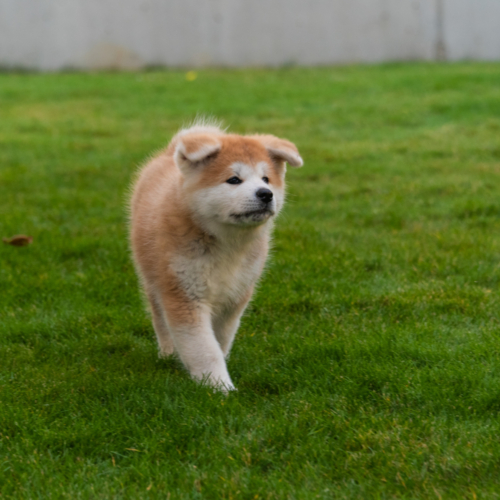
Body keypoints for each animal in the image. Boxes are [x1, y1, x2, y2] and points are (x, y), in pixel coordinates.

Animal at [130, 122, 300, 390]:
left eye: (266, 179)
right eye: (234, 180)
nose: (265, 193)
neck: (226, 243)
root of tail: (168, 153)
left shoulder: (235, 296)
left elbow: (220, 340)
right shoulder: (184, 293)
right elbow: (204, 347)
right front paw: (219, 387)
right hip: (154, 278)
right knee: (160, 321)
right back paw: (167, 353)